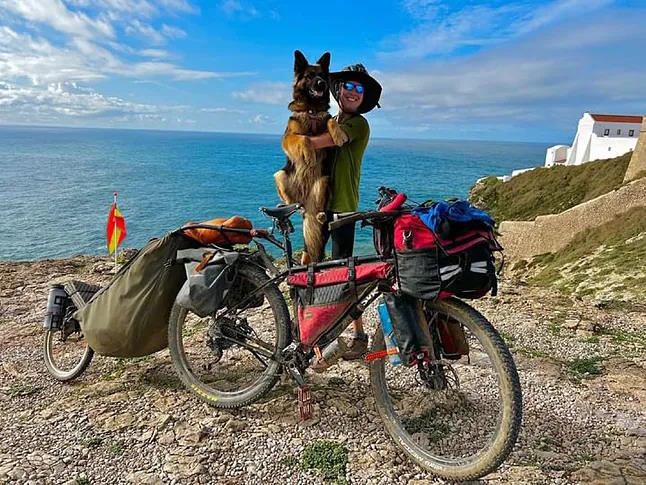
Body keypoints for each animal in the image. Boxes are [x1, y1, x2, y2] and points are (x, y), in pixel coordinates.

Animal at [276, 51, 352, 262]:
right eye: (310, 76)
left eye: (322, 76)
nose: (321, 84)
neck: (312, 109)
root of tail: (303, 199)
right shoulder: (288, 138)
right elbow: (304, 138)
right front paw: (309, 155)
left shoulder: (326, 124)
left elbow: (331, 121)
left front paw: (339, 134)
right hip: (280, 175)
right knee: (291, 202)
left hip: (324, 181)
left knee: (319, 208)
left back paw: (320, 215)